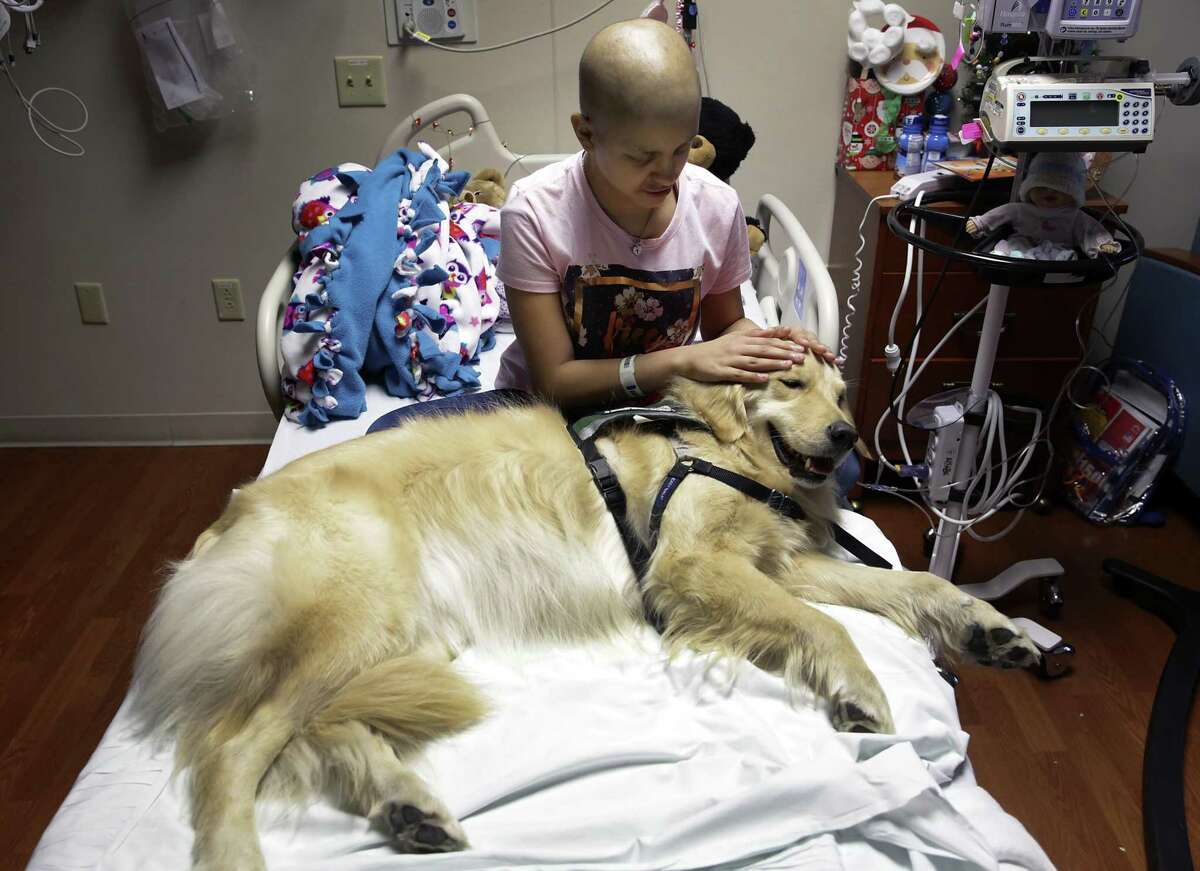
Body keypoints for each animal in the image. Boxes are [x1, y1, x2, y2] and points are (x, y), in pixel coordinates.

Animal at [131, 362, 1041, 871]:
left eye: (843, 391)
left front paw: (991, 628)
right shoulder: (692, 567)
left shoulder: (782, 561)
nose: (851, 432)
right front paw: (858, 689)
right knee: (233, 743)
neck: (724, 448)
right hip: (352, 613)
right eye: (790, 381)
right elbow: (830, 626)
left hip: (402, 636)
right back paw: (242, 852)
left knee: (316, 728)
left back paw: (407, 805)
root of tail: (231, 513)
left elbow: (910, 583)